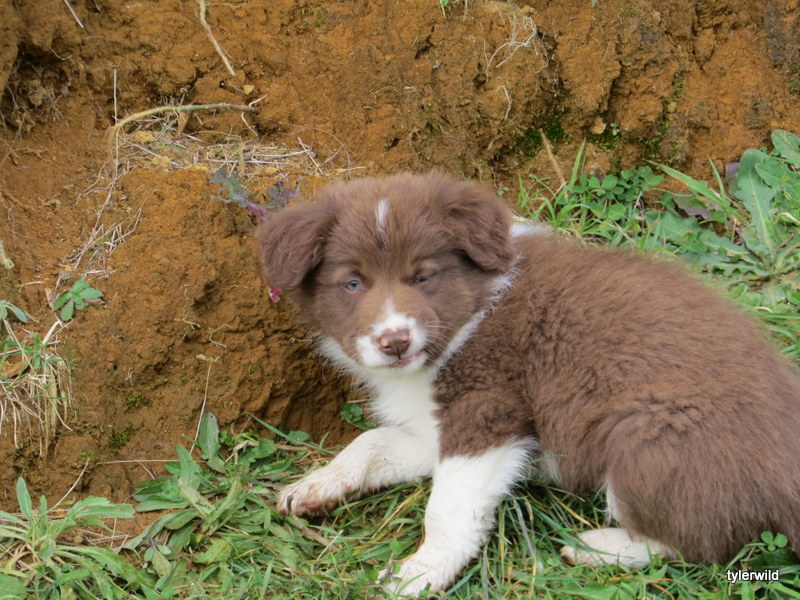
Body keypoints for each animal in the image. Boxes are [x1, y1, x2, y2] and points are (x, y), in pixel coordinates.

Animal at [255, 172, 800, 596]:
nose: (395, 342)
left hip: (647, 435)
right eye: (352, 284)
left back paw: (597, 548)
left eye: (424, 277)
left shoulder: (489, 412)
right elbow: (373, 442)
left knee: (699, 542)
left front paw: (420, 573)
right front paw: (316, 486)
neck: (469, 318)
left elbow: (449, 507)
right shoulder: (439, 428)